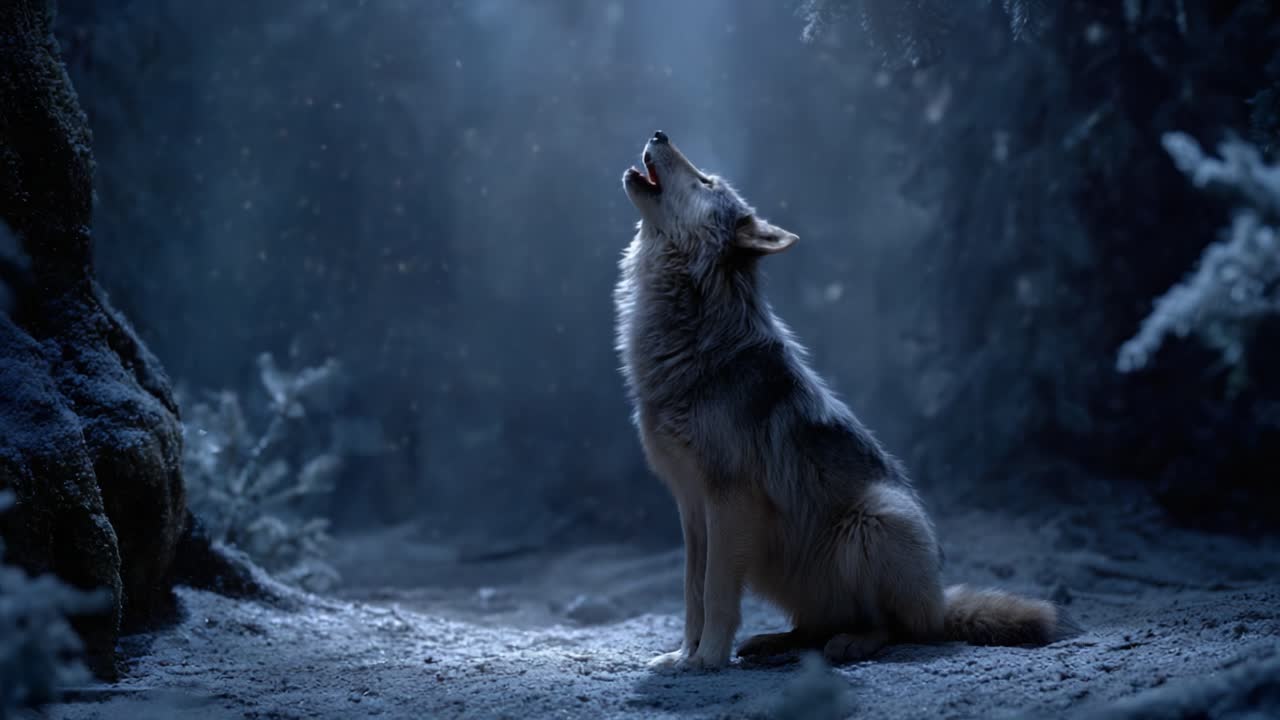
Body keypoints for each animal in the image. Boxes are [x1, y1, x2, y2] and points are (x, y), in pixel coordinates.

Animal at [614, 131, 1075, 671]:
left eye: (706, 181)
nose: (659, 134)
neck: (691, 336)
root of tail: (940, 604)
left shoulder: (729, 501)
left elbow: (717, 593)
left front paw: (707, 658)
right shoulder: (690, 506)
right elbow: (692, 592)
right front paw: (681, 654)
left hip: (875, 518)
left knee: (893, 628)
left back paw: (852, 644)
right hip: (785, 566)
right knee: (816, 625)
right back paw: (777, 642)